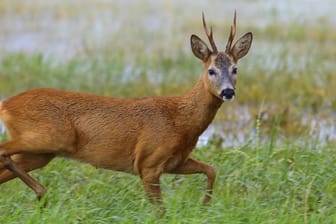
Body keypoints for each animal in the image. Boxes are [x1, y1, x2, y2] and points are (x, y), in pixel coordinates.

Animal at [0, 12, 252, 205]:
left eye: (235, 68)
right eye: (211, 70)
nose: (227, 92)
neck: (181, 121)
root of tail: (6, 104)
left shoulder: (175, 161)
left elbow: (211, 169)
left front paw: (204, 206)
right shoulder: (148, 162)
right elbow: (160, 210)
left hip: (41, 153)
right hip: (45, 137)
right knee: (3, 151)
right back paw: (42, 192)